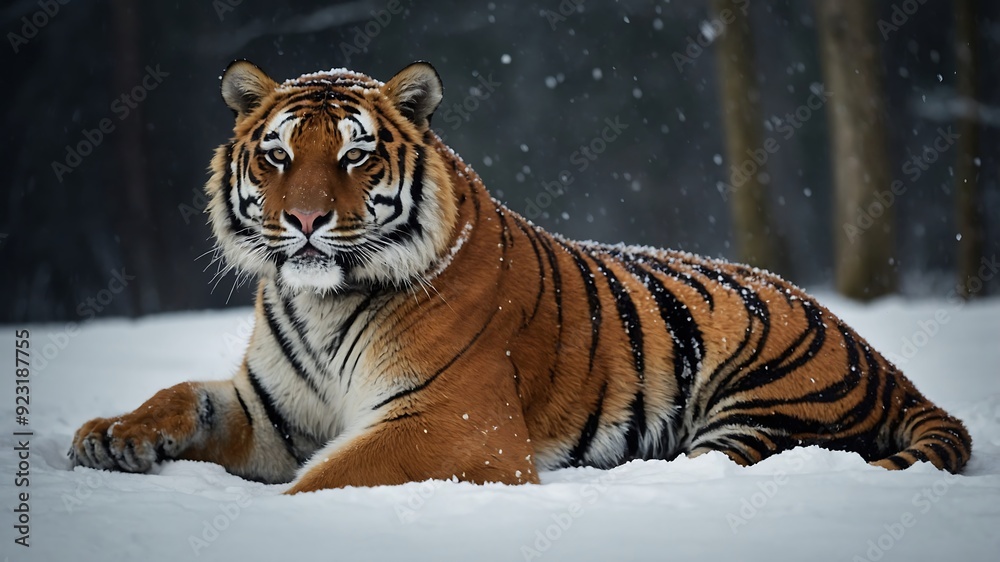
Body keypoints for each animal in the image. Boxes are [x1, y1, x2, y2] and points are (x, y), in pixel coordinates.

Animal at [70, 60, 972, 493]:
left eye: (355, 156)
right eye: (278, 155)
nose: (305, 221)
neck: (322, 301)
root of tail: (894, 369)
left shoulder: (450, 424)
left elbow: (329, 479)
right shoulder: (273, 413)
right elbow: (182, 396)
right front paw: (109, 437)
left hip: (755, 396)